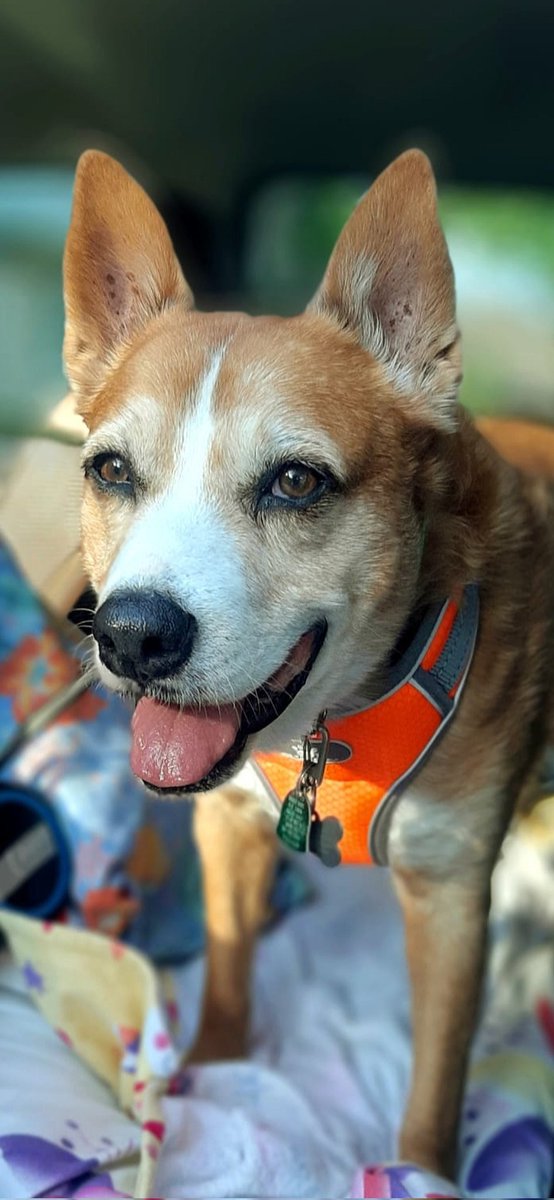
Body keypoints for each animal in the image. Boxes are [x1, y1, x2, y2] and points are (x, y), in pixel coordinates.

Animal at [62, 147, 554, 1180]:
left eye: (296, 482)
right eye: (111, 471)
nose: (130, 635)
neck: (334, 731)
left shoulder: (451, 898)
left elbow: (433, 1090)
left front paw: (423, 1177)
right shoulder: (227, 826)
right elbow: (227, 972)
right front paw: (210, 1072)